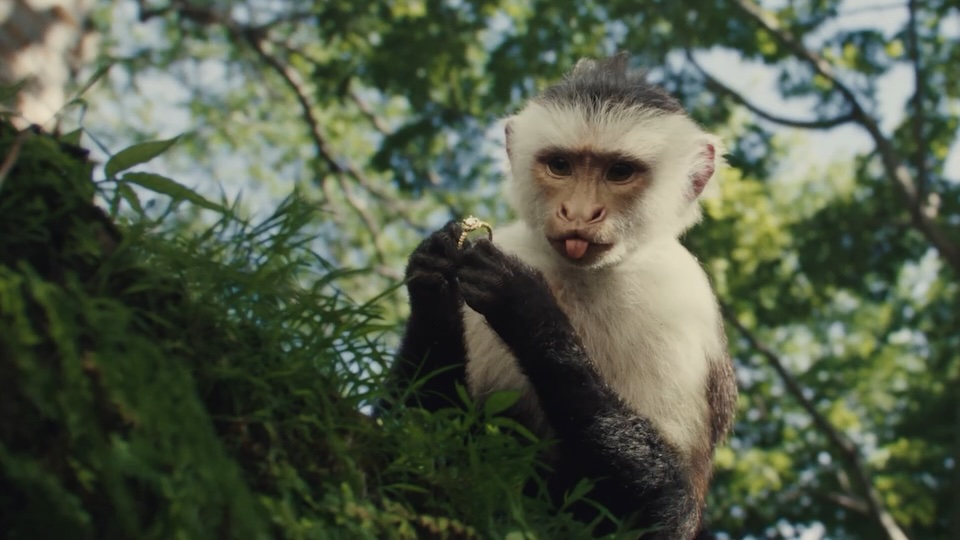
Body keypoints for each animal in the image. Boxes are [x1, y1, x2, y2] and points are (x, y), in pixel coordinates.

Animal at [387, 53, 738, 539]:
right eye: (560, 165)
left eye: (619, 172)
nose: (579, 213)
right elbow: (414, 428)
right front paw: (433, 278)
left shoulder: (678, 301)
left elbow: (664, 504)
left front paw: (528, 312)